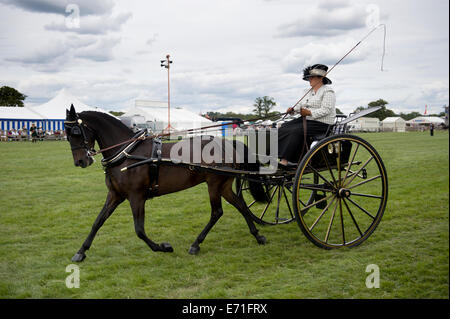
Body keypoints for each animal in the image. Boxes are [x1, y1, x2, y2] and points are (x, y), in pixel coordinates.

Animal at [65, 105, 266, 262]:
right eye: (67, 134)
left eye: (76, 132)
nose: (81, 161)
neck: (127, 152)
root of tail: (227, 144)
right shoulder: (115, 195)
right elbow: (98, 222)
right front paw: (81, 252)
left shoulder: (136, 196)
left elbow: (139, 230)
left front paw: (164, 247)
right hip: (223, 185)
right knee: (240, 205)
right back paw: (257, 235)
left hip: (214, 184)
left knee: (217, 212)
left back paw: (196, 244)